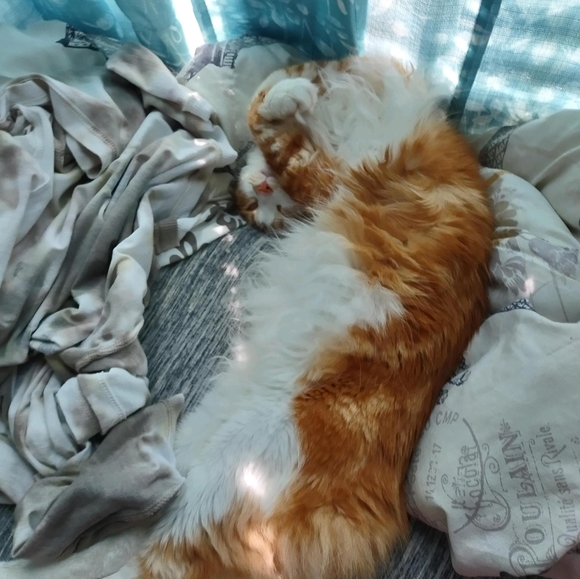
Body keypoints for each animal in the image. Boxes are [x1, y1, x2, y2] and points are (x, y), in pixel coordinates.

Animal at [136, 55, 494, 579]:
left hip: (229, 476)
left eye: (273, 207)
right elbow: (266, 113)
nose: (264, 187)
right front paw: (292, 96)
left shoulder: (332, 168)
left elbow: (267, 119)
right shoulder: (327, 169)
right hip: (203, 467)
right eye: (258, 207)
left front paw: (293, 96)